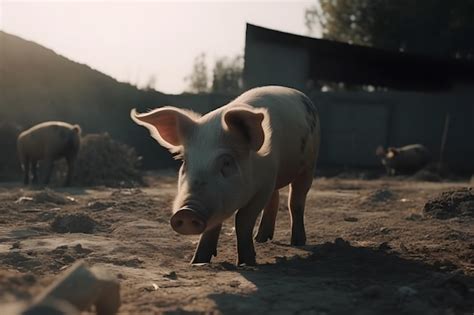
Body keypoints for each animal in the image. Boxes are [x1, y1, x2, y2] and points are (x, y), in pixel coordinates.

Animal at [131, 85, 320, 266]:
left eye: (227, 163)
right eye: (184, 161)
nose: (186, 212)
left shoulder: (263, 186)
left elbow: (242, 220)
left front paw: (246, 263)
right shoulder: (266, 180)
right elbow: (213, 225)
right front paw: (197, 261)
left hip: (309, 165)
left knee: (295, 201)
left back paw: (298, 242)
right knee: (276, 197)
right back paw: (261, 239)